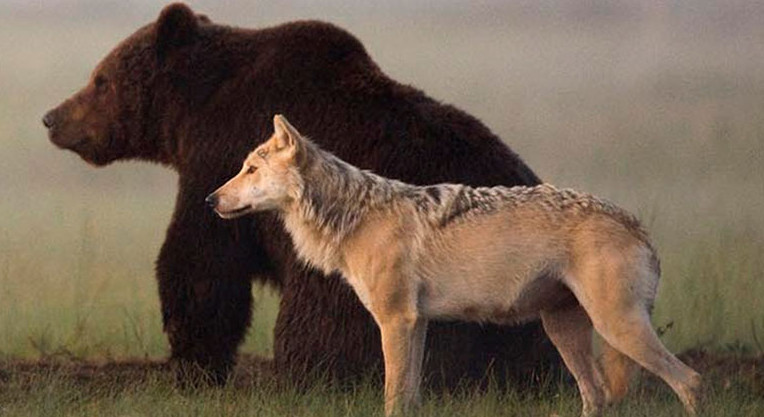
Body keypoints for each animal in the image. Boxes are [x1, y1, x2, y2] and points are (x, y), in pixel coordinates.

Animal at [43, 2, 560, 386]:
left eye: (101, 80)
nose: (52, 117)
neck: (194, 110)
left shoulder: (219, 157)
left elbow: (201, 260)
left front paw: (194, 361)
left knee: (322, 323)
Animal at [206, 114, 700, 416]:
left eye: (250, 170)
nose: (210, 199)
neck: (355, 216)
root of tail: (636, 224)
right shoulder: (416, 323)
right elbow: (409, 395)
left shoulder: (396, 321)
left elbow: (393, 396)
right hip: (565, 331)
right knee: (597, 396)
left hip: (617, 328)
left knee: (690, 381)